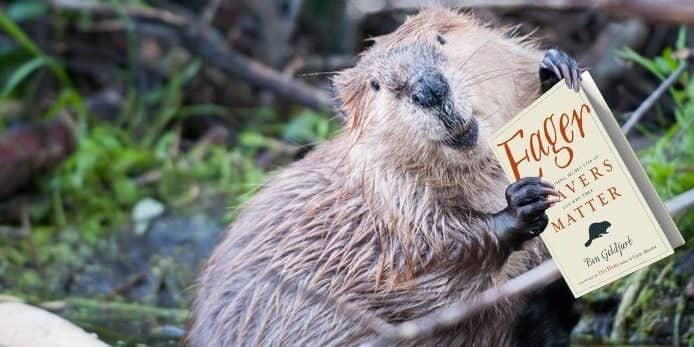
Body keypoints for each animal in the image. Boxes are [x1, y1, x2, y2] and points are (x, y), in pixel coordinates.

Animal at [184, 6, 580, 346]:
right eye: (375, 85)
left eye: (441, 39)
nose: (429, 89)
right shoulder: (389, 200)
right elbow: (427, 260)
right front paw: (522, 203)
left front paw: (556, 70)